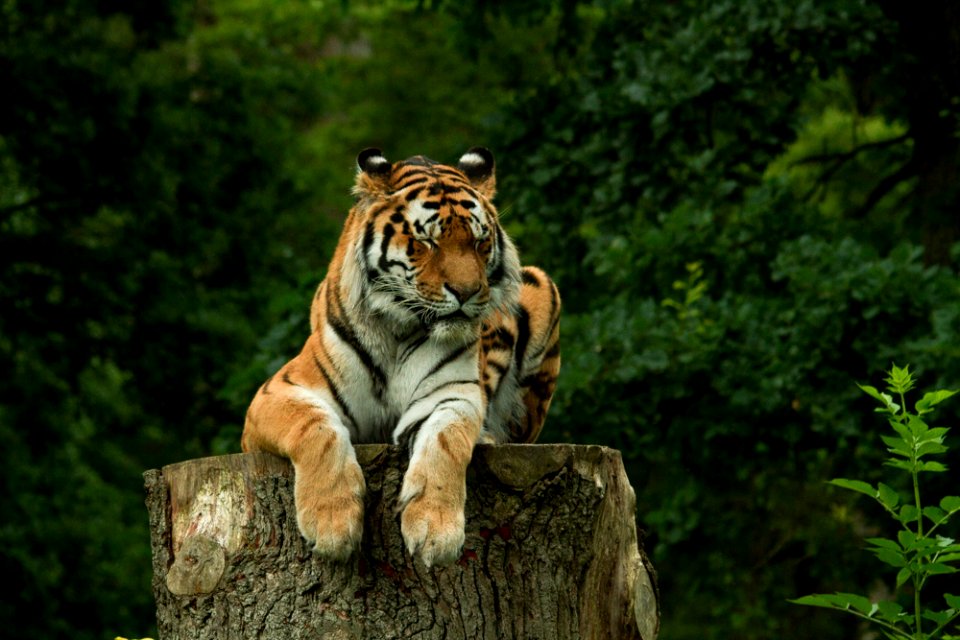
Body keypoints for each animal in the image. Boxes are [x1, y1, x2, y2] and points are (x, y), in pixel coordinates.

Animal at [242, 148, 564, 568]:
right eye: (426, 241)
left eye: (479, 242)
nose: (467, 292)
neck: (396, 331)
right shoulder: (277, 392)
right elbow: (315, 427)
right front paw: (331, 525)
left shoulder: (451, 394)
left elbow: (445, 443)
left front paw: (435, 531)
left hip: (541, 286)